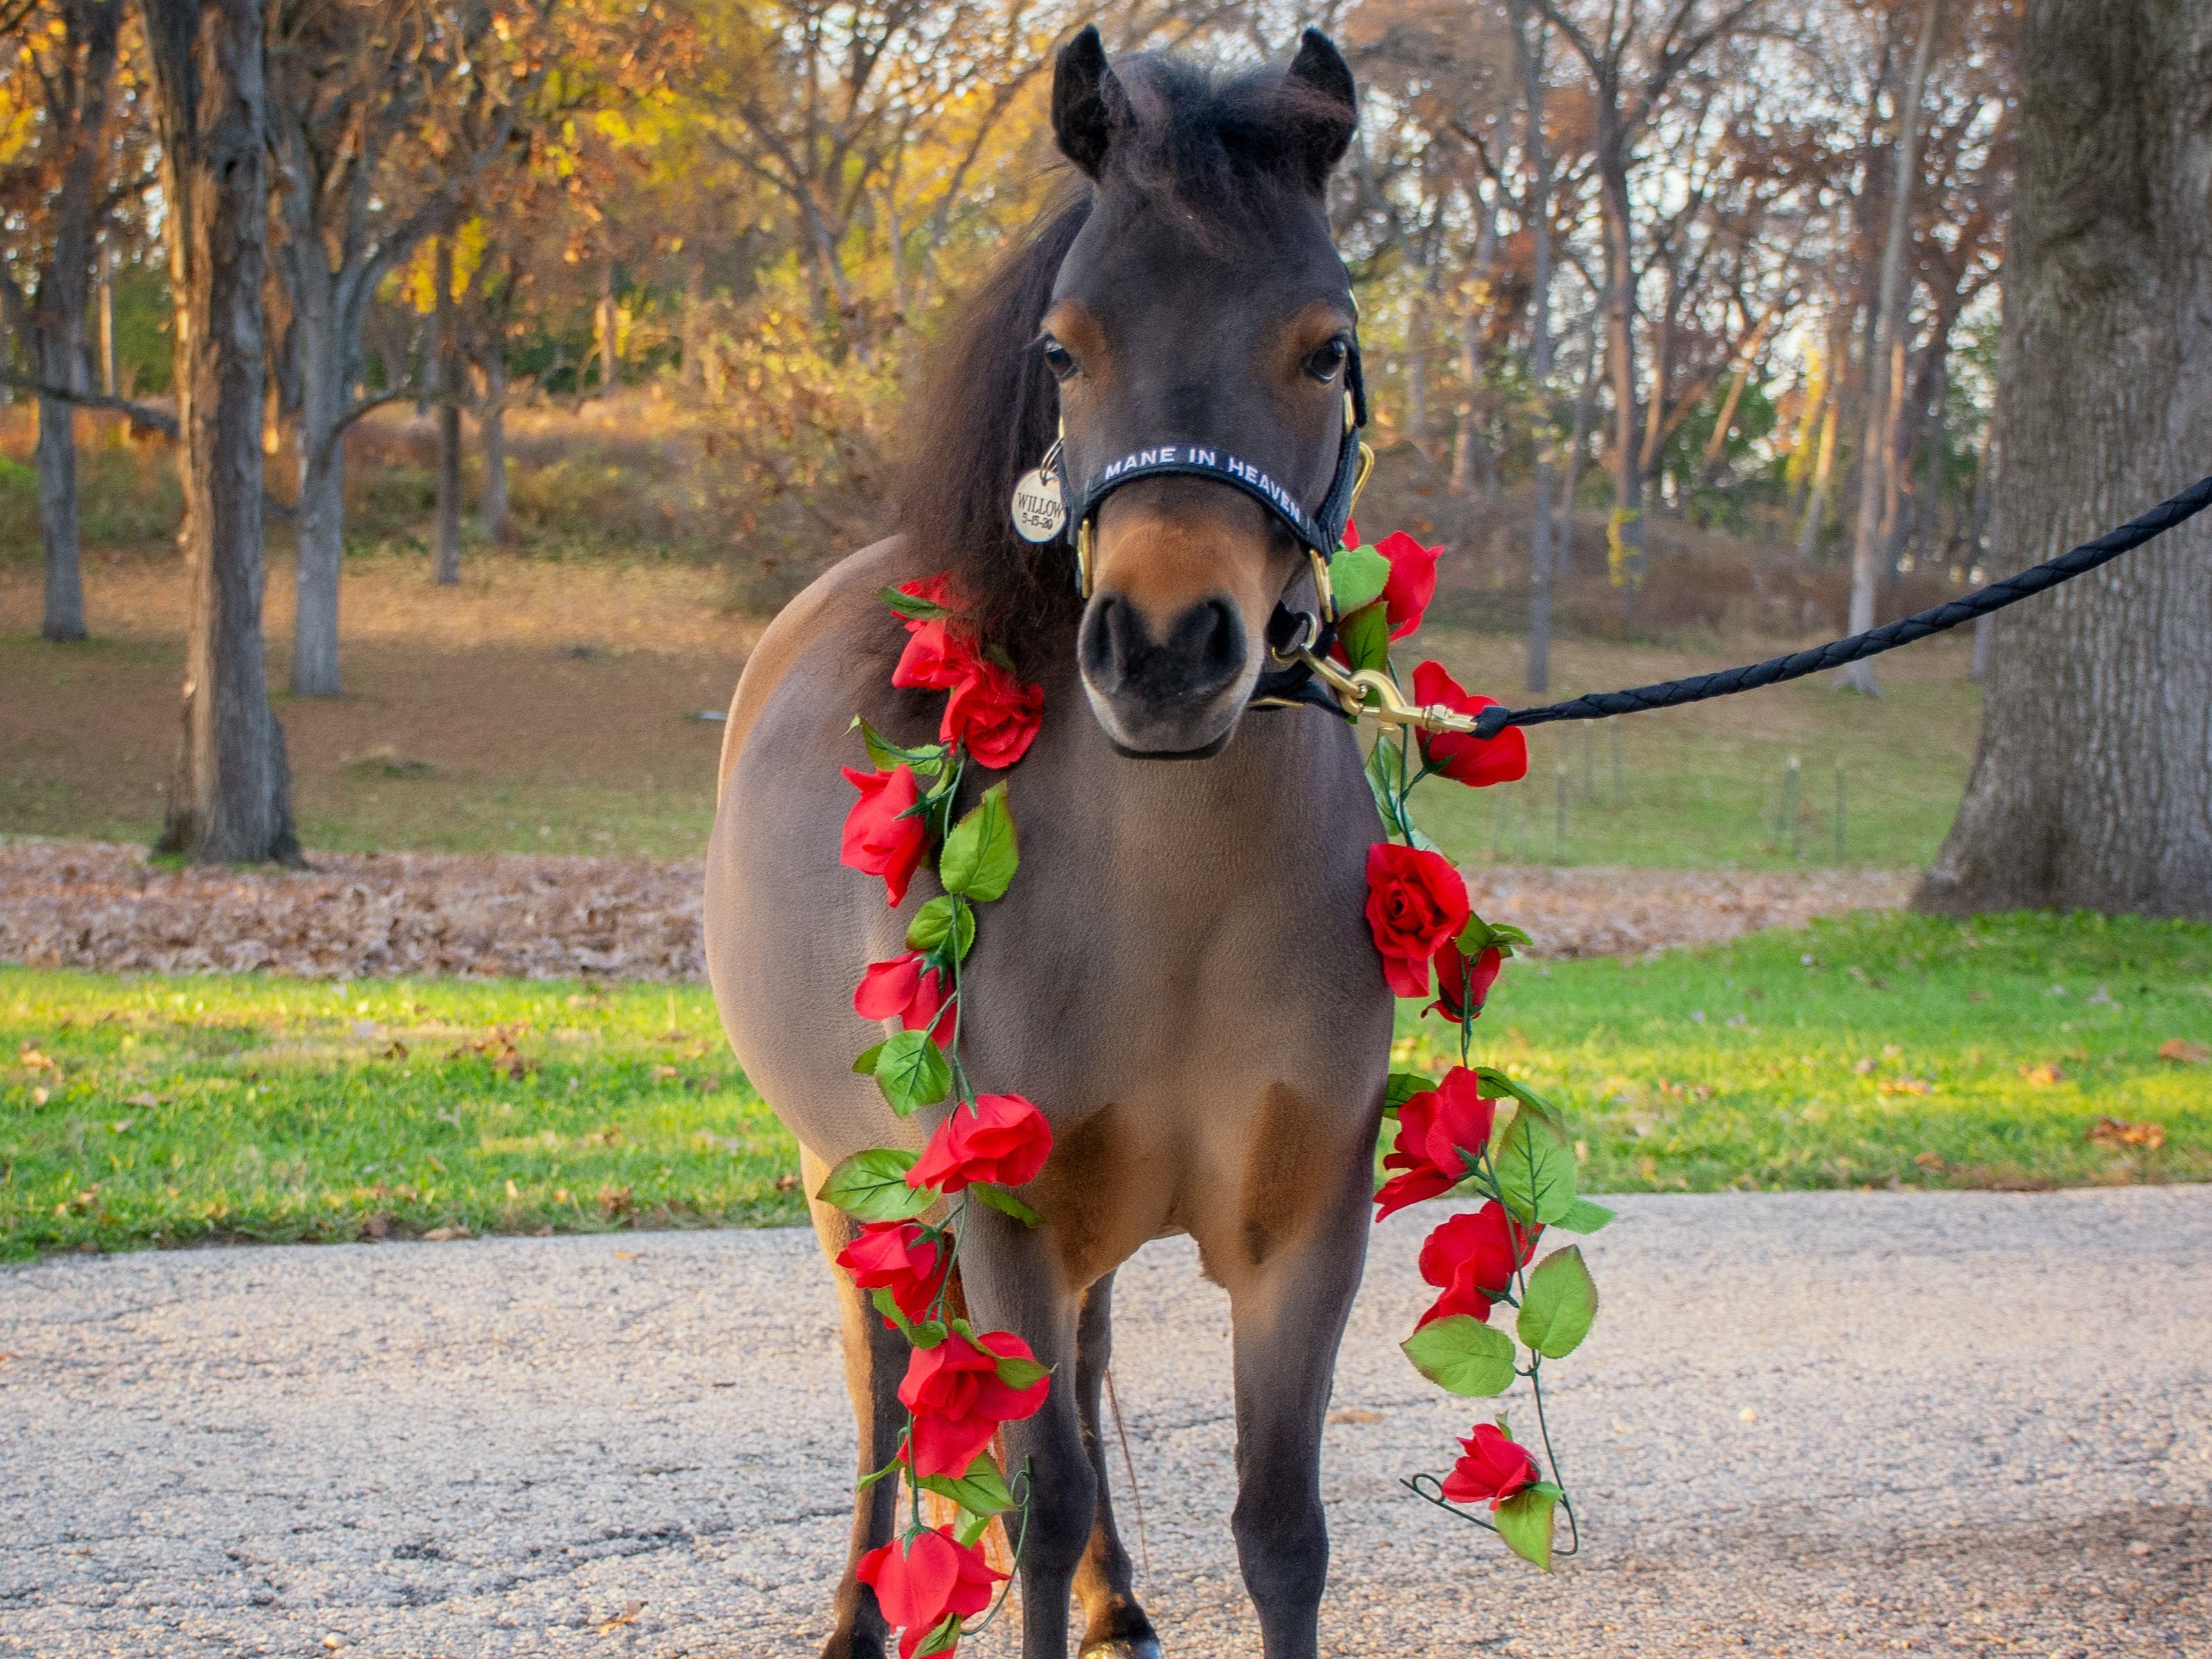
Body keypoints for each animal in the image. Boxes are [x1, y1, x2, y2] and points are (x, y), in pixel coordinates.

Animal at [708, 29, 1389, 1659]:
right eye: (1067, 349)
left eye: (1325, 347)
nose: (1165, 649)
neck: (1181, 912)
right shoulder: (1001, 1218)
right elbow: (1039, 1502)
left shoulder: (1304, 1239)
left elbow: (1280, 1531)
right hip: (847, 1179)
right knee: (888, 1389)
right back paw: (855, 1612)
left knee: (1079, 1361)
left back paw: (1117, 1603)